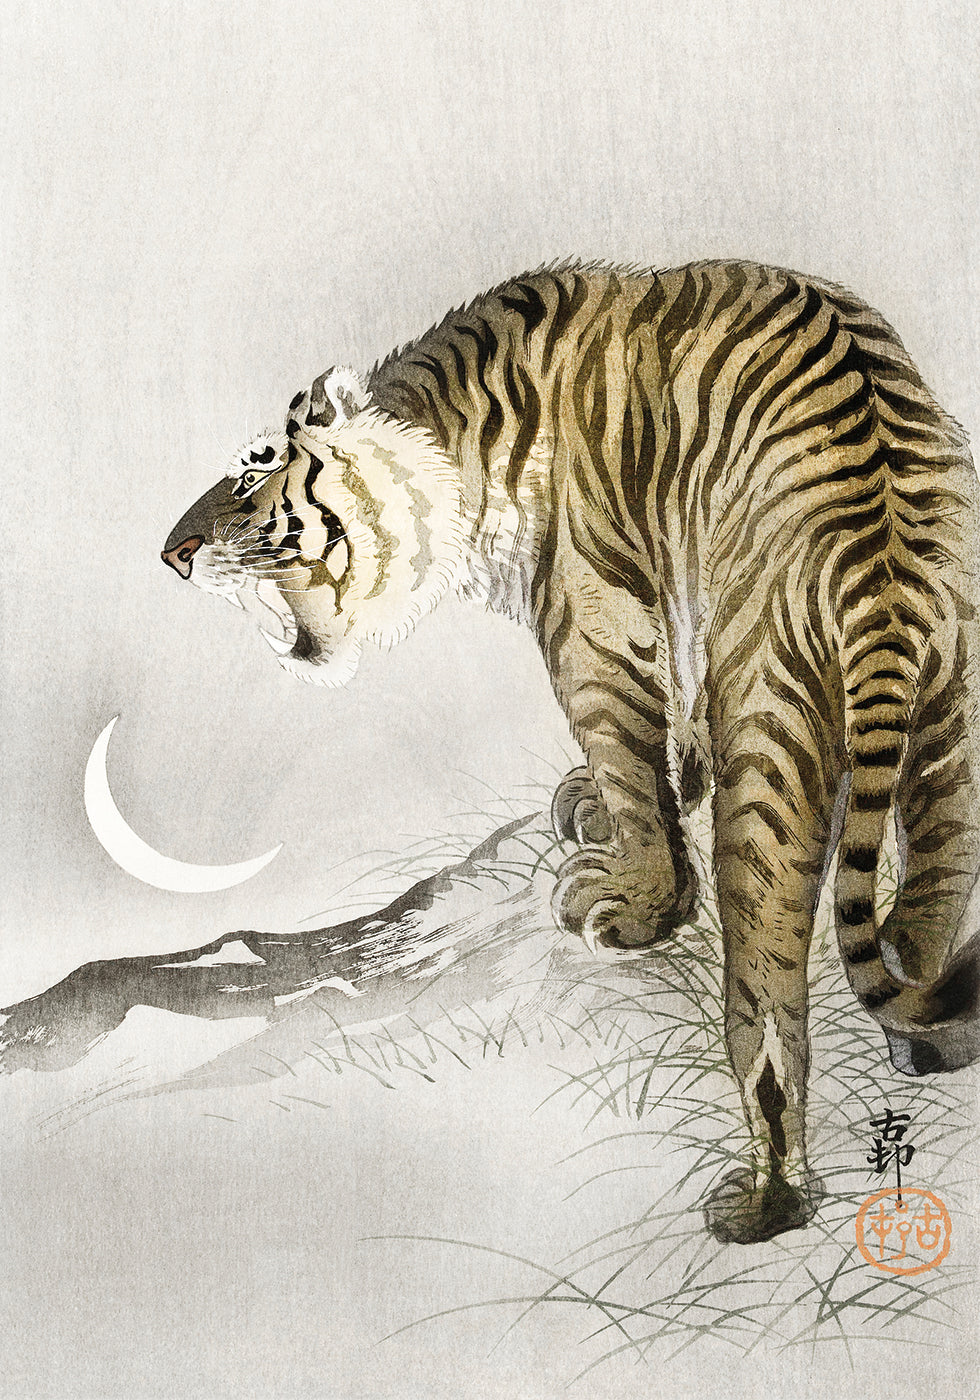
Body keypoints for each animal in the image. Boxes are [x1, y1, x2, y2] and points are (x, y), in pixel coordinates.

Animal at [163, 260, 980, 1244]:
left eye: (254, 471)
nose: (172, 553)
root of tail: (885, 560)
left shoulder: (589, 615)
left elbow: (628, 751)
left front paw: (635, 900)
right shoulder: (677, 596)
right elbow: (671, 725)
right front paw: (621, 797)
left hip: (773, 727)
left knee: (768, 1007)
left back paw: (765, 1201)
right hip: (953, 723)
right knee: (930, 900)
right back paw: (931, 1039)